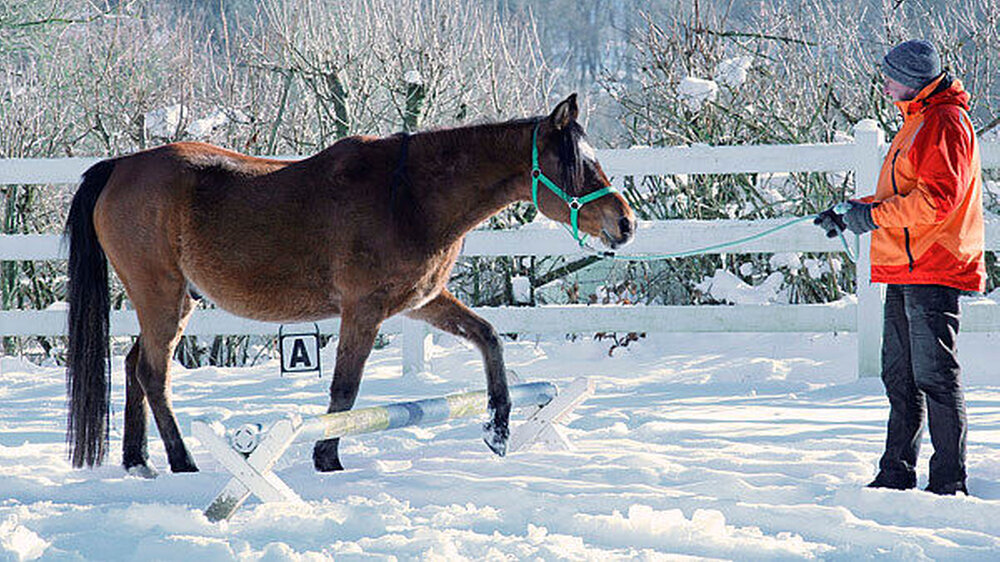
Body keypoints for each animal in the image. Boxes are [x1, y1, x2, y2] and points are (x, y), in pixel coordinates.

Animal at [64, 93, 635, 477]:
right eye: (577, 164)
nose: (625, 223)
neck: (407, 195)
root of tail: (120, 167)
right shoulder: (364, 309)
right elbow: (345, 386)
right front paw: (327, 456)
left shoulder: (422, 303)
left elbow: (488, 337)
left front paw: (497, 429)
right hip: (160, 296)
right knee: (153, 375)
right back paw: (182, 462)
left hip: (171, 302)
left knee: (135, 365)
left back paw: (138, 462)